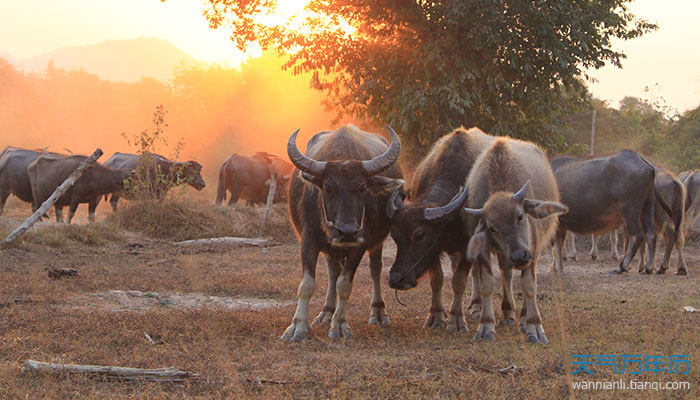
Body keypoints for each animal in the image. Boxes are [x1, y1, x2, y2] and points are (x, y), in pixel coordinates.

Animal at [278, 124, 402, 340]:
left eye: (361, 188)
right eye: (328, 189)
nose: (347, 232)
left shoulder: (360, 243)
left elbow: (344, 284)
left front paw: (340, 325)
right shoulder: (308, 240)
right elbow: (307, 285)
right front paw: (298, 327)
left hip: (376, 242)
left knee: (375, 269)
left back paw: (378, 311)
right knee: (332, 271)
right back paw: (327, 312)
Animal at [386, 127, 494, 332]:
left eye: (420, 235)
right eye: (394, 236)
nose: (396, 279)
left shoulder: (467, 245)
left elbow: (459, 280)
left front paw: (456, 319)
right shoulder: (434, 249)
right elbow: (437, 279)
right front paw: (436, 316)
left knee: (477, 271)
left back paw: (477, 306)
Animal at [462, 138, 568, 344]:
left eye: (520, 216)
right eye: (492, 228)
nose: (519, 256)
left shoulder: (532, 248)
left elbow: (529, 286)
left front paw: (534, 326)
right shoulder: (485, 250)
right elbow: (487, 283)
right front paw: (486, 325)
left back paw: (523, 318)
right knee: (506, 273)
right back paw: (509, 313)